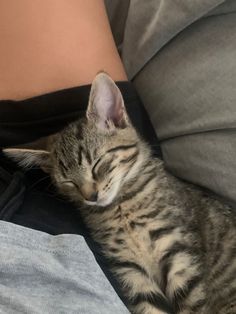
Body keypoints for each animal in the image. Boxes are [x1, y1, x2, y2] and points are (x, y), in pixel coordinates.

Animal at [3, 72, 236, 312]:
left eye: (96, 164)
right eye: (69, 182)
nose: (91, 196)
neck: (121, 207)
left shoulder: (179, 253)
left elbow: (194, 304)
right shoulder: (129, 269)